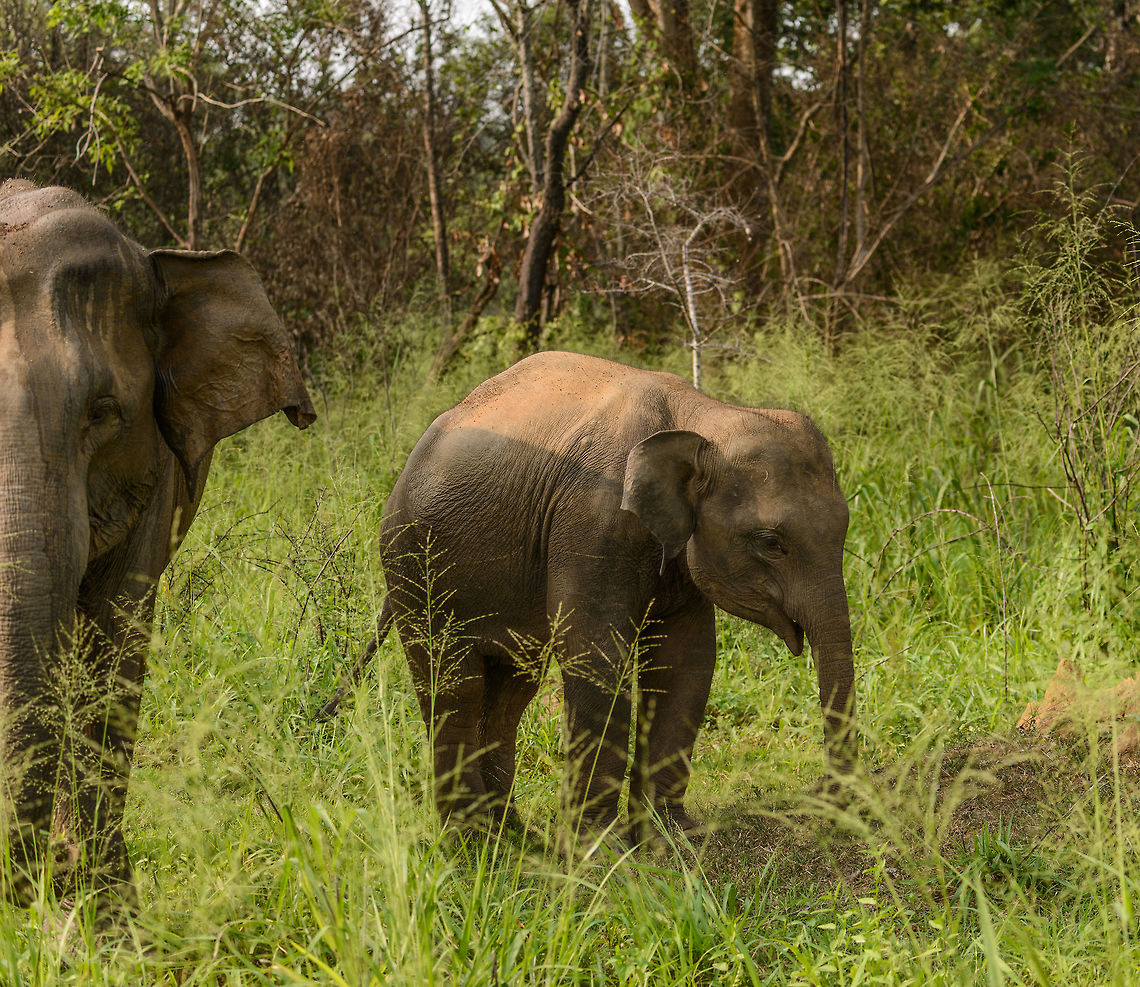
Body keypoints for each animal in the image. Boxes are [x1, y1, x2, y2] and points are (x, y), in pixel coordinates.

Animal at [325, 351, 855, 838]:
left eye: (844, 529)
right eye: (770, 543)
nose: (825, 801)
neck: (703, 415)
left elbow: (686, 659)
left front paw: (674, 835)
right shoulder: (591, 519)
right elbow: (596, 653)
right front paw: (602, 848)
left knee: (511, 687)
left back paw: (513, 834)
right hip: (413, 566)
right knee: (452, 683)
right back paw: (470, 841)